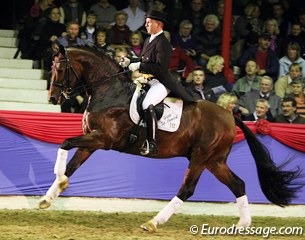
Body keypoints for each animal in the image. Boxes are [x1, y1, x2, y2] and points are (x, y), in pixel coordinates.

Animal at [39, 45, 302, 232]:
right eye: (51, 67)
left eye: (60, 68)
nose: (52, 98)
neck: (109, 91)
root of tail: (229, 115)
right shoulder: (91, 140)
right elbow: (71, 166)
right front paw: (49, 196)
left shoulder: (103, 139)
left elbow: (64, 144)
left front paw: (58, 183)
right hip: (215, 160)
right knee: (238, 184)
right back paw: (242, 225)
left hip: (200, 158)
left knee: (187, 189)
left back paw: (153, 222)